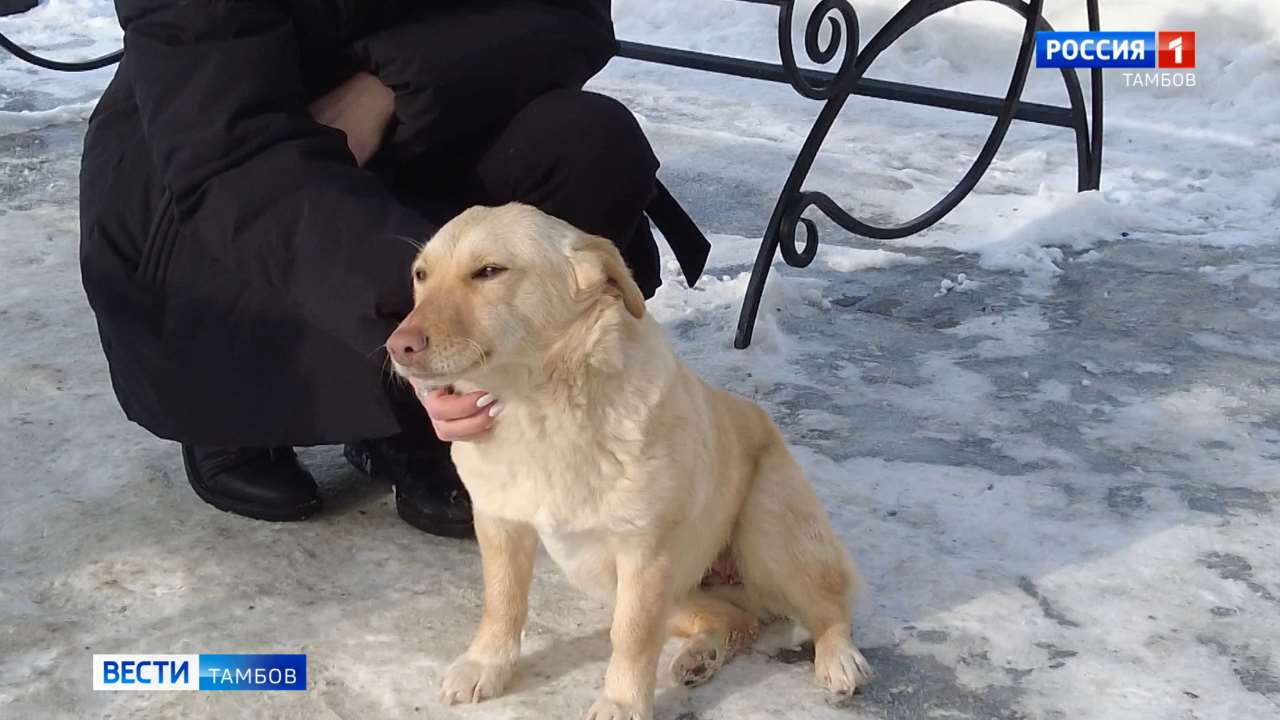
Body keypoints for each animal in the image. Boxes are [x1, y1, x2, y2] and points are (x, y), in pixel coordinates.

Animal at [386, 203, 870, 717]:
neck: (540, 410)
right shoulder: (500, 523)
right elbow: (502, 603)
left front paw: (621, 701)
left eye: (489, 271)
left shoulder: (645, 553)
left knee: (830, 607)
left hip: (768, 533)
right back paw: (701, 656)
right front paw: (487, 665)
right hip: (636, 583)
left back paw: (839, 659)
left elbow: (633, 637)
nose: (398, 346)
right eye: (421, 275)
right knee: (738, 620)